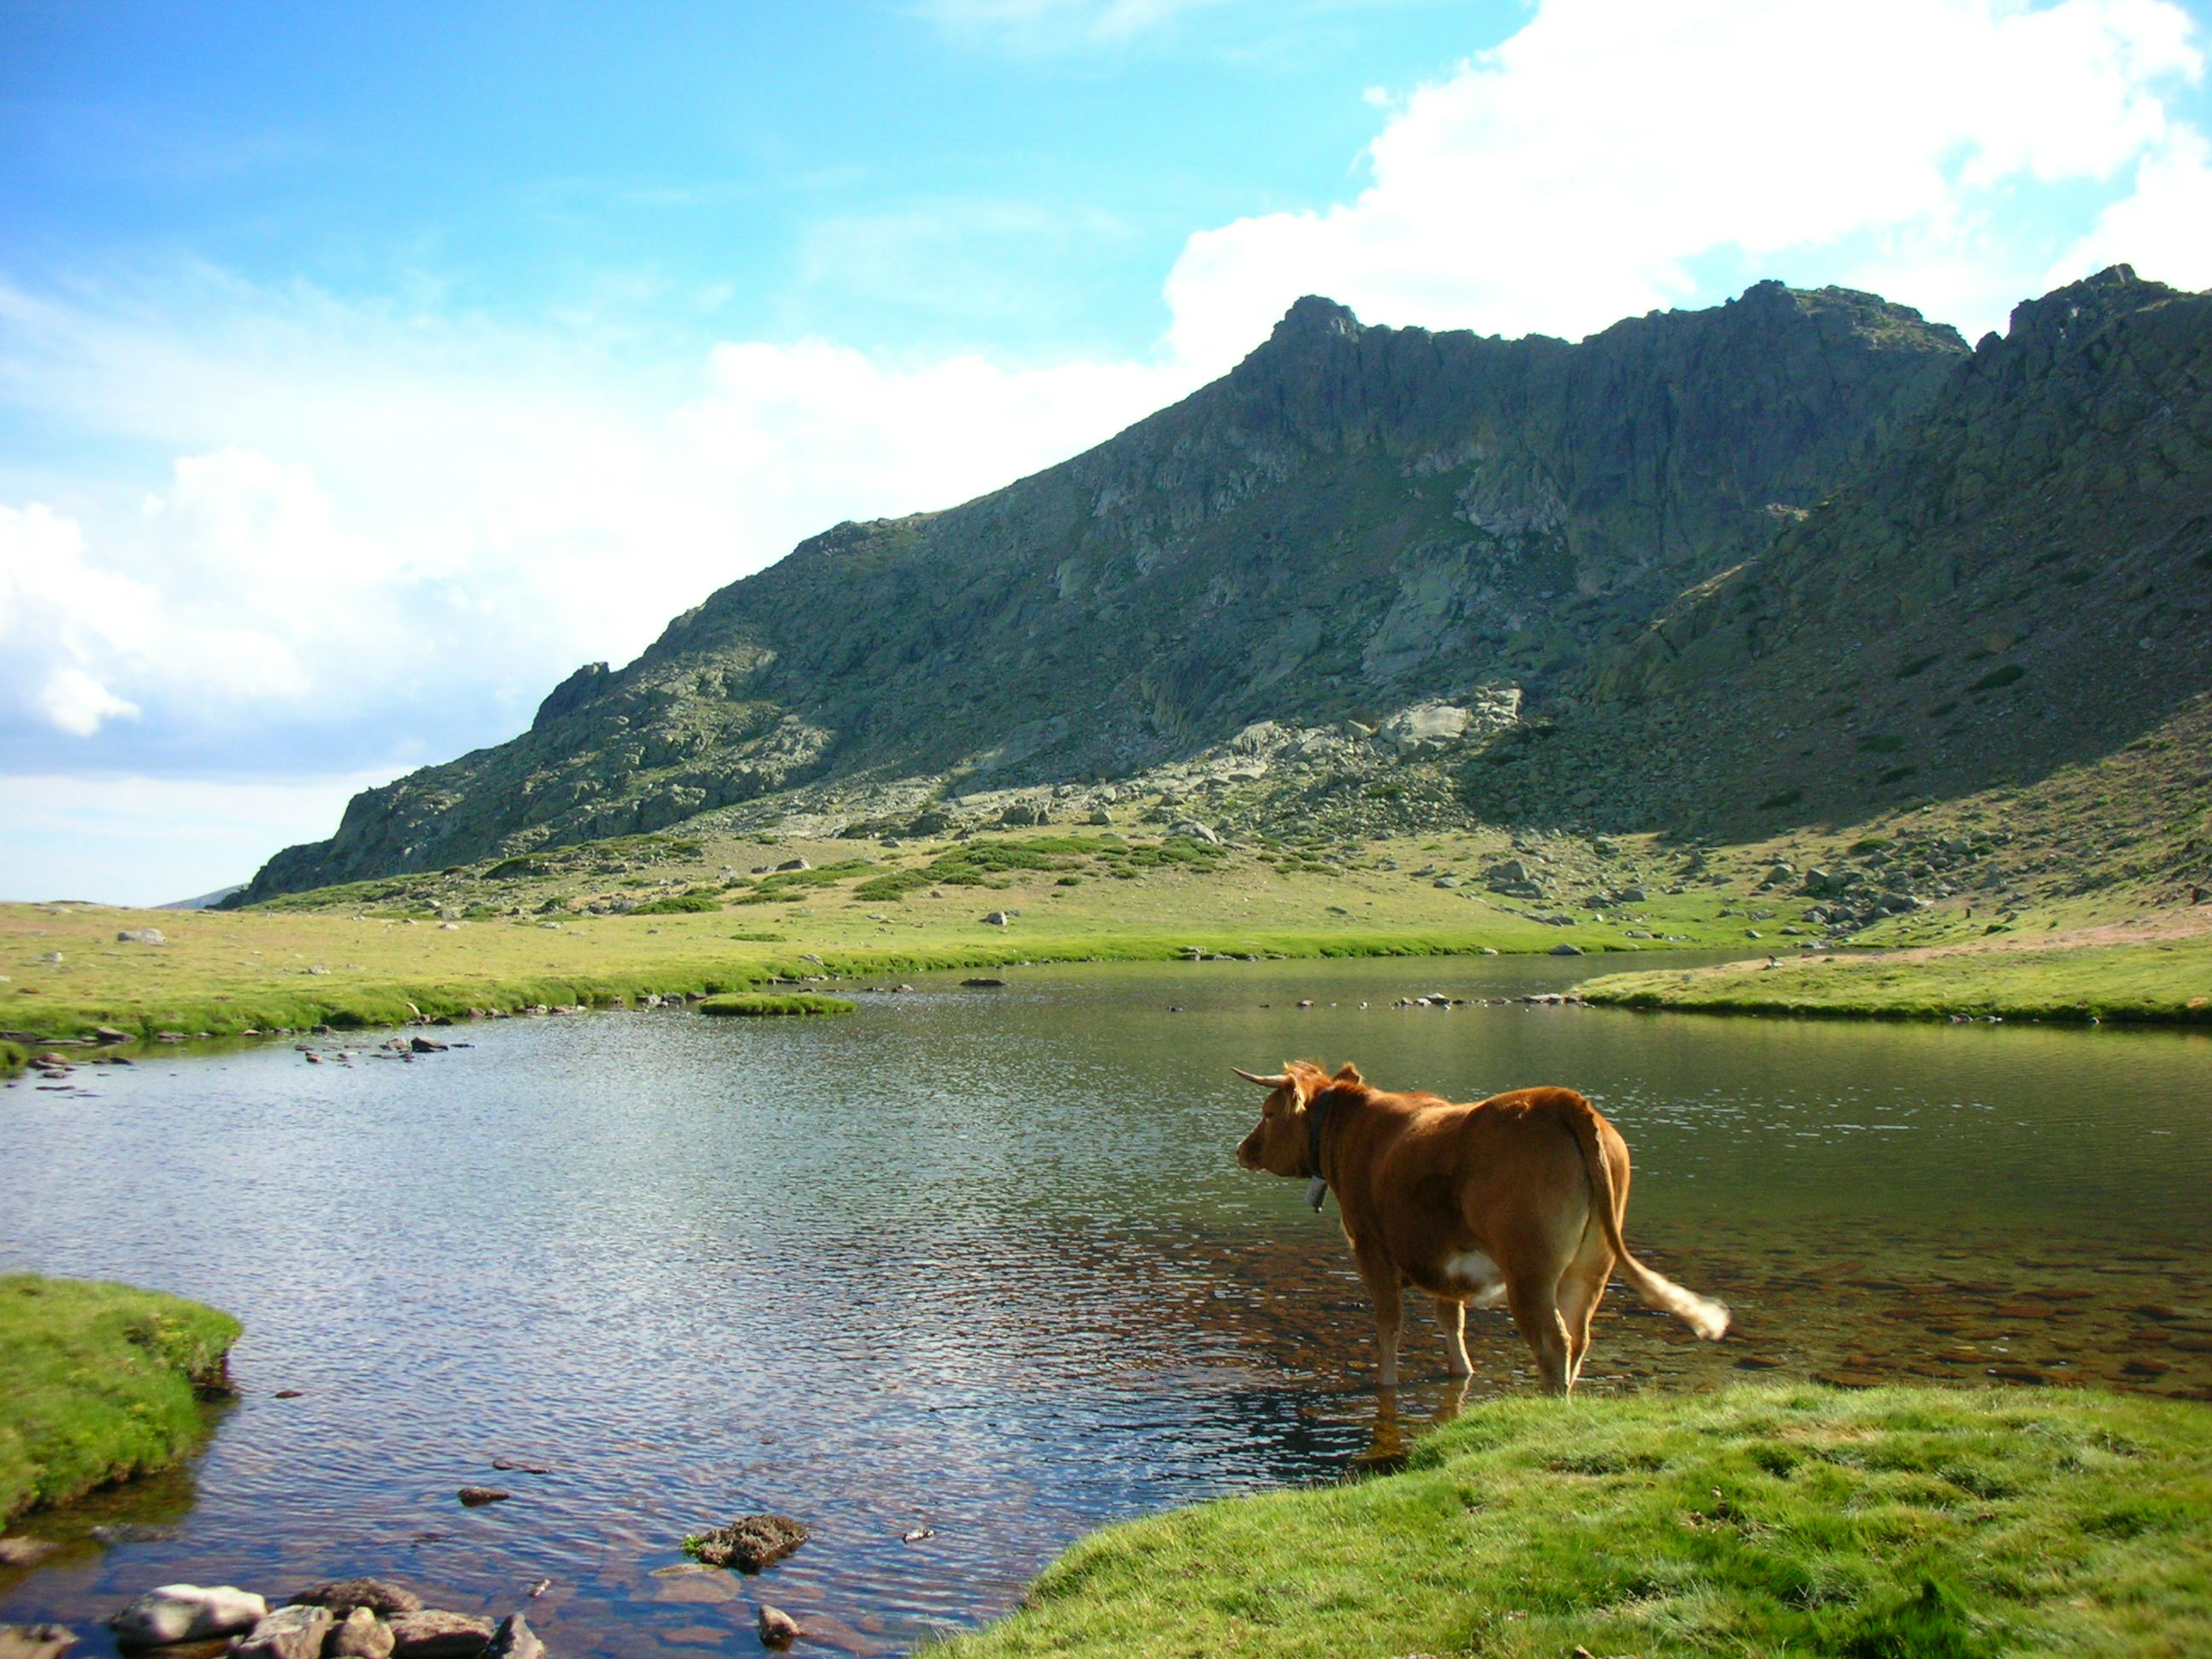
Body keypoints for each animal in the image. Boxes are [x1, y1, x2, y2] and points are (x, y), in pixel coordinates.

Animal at [1230, 1057, 1725, 1397]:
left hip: (1530, 1270)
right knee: (1579, 1335)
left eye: (1269, 1113)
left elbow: (1389, 1323)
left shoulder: (1371, 1248)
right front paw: (1462, 1371)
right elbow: (1452, 1319)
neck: (1349, 1131)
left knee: (1553, 1340)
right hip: (1591, 1267)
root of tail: (1562, 1101)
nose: (1242, 1150)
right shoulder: (1442, 1260)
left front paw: (1385, 1382)